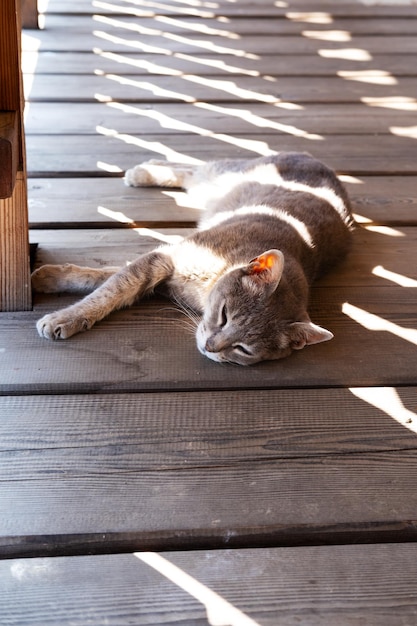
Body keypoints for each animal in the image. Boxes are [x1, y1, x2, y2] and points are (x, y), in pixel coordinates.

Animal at [30, 151, 352, 364]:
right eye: (225, 315)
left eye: (243, 349)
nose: (210, 346)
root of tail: (319, 161)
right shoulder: (165, 258)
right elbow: (109, 287)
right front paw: (64, 312)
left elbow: (110, 278)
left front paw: (50, 282)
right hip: (223, 176)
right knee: (196, 166)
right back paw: (145, 170)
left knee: (192, 171)